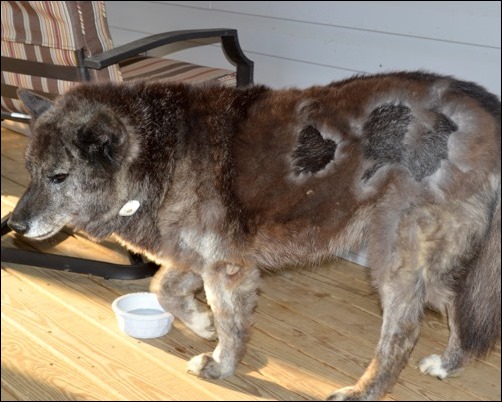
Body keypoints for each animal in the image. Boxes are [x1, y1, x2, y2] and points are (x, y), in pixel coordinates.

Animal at [9, 70, 500, 400]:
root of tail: (482, 105)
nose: (14, 225)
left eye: (58, 177)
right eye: (31, 171)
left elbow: (230, 324)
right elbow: (163, 287)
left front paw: (220, 365)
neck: (160, 151)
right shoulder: (202, 257)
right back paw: (448, 365)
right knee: (456, 303)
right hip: (427, 262)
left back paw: (365, 389)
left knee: (404, 331)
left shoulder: (227, 269)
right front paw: (200, 322)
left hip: (393, 256)